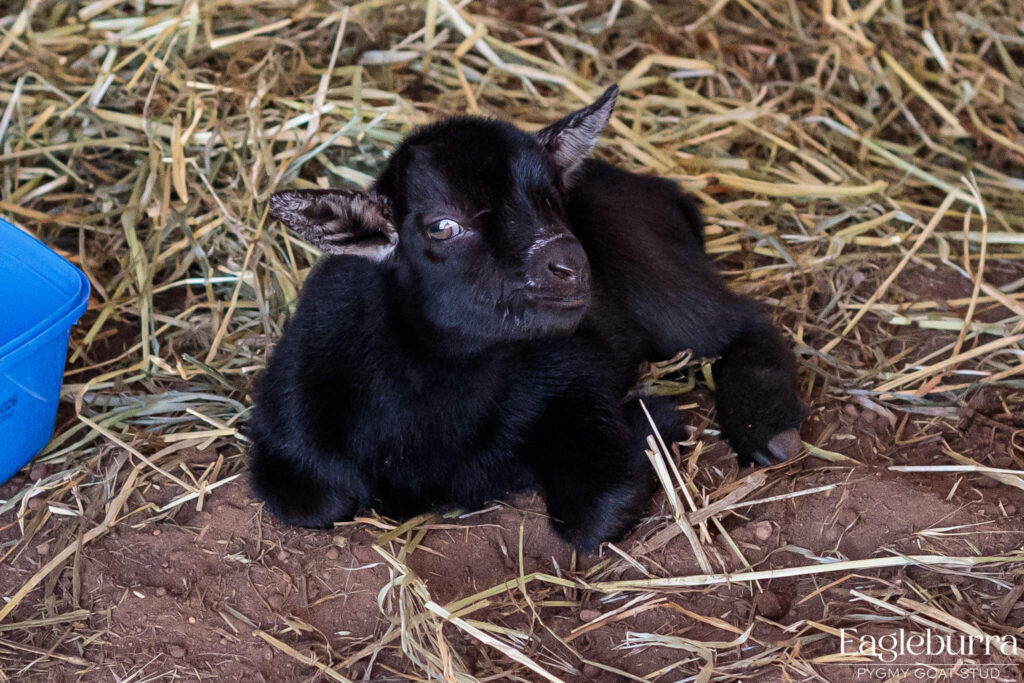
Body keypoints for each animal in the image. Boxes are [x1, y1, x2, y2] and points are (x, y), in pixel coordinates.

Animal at [249, 87, 806, 557]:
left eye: (553, 199)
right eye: (442, 225)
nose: (570, 263)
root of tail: (660, 189)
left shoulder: (577, 378)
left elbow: (594, 514)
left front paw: (653, 417)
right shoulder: (286, 421)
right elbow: (312, 503)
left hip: (659, 279)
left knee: (743, 324)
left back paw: (767, 428)